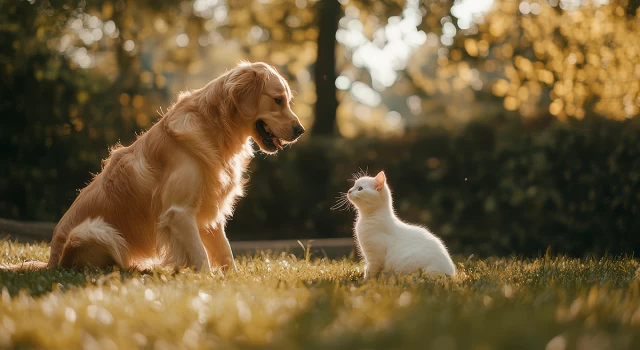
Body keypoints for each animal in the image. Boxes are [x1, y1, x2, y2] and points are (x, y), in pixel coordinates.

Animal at [4, 61, 304, 272]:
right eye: (278, 100)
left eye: (287, 100)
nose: (300, 130)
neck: (216, 129)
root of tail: (51, 260)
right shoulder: (179, 212)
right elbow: (201, 257)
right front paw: (207, 281)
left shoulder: (210, 212)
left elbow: (225, 253)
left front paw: (233, 281)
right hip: (93, 230)